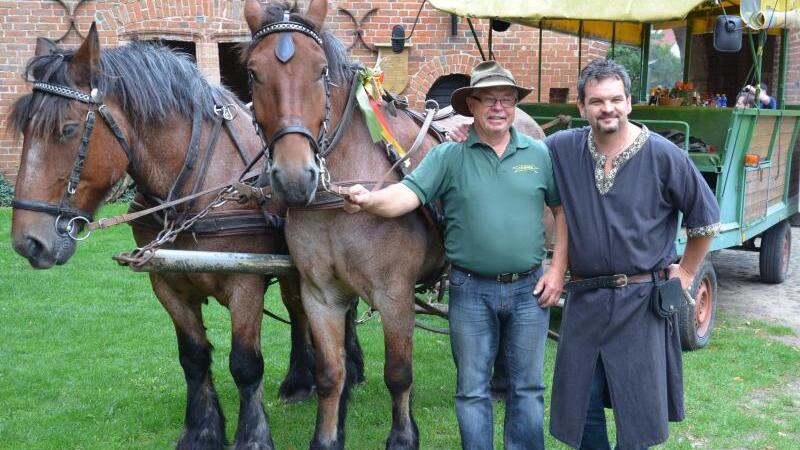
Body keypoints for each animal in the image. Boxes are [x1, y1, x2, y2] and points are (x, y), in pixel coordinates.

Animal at [5, 25, 362, 450]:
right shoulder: (167, 281)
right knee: (298, 309)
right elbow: (193, 357)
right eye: (24, 131)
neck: (196, 184)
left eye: (68, 130)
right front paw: (201, 431)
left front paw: (253, 436)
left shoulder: (244, 283)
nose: (28, 241)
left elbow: (245, 364)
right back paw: (301, 379)